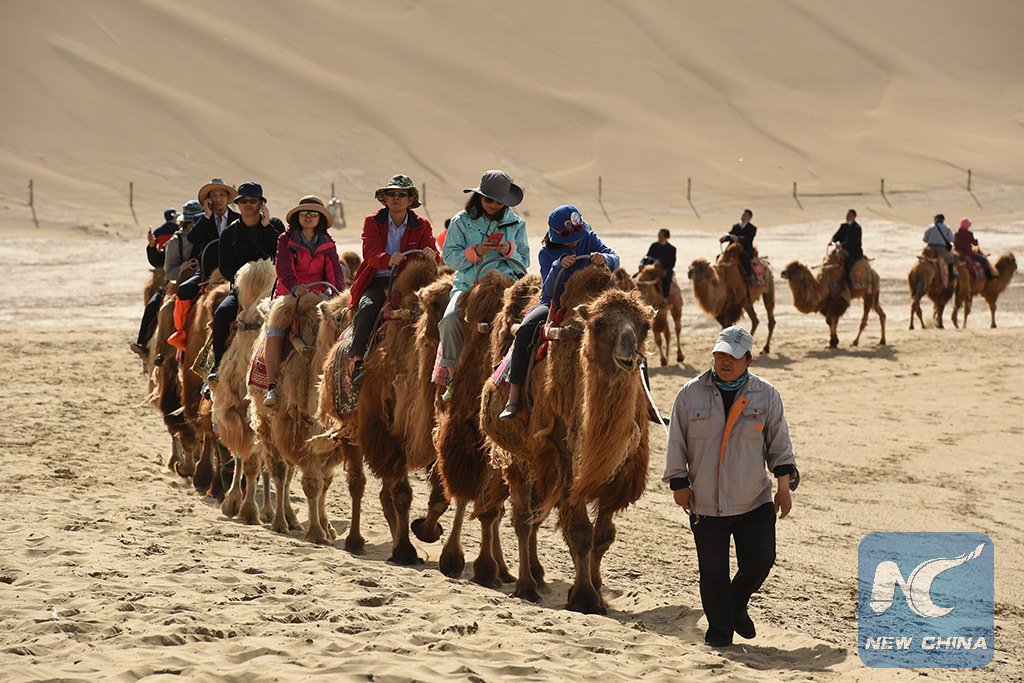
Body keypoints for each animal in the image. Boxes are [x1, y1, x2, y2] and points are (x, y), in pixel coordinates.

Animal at [211, 260, 278, 524]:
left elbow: (256, 461)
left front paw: (251, 510)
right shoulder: (233, 410)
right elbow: (243, 456)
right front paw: (238, 506)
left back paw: (270, 511)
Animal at [248, 288, 356, 544]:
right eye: (338, 317)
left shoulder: (328, 443)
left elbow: (325, 483)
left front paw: (327, 528)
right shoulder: (303, 434)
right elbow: (312, 485)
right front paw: (316, 532)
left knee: (287, 474)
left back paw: (291, 519)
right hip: (268, 425)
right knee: (279, 471)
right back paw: (279, 521)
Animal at [481, 266, 655, 614]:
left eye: (644, 326)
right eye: (599, 324)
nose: (628, 354)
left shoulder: (619, 472)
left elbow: (603, 535)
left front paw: (597, 588)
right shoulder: (564, 462)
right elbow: (581, 532)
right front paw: (585, 597)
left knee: (534, 517)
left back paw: (536, 575)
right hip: (518, 453)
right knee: (522, 519)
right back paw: (525, 586)